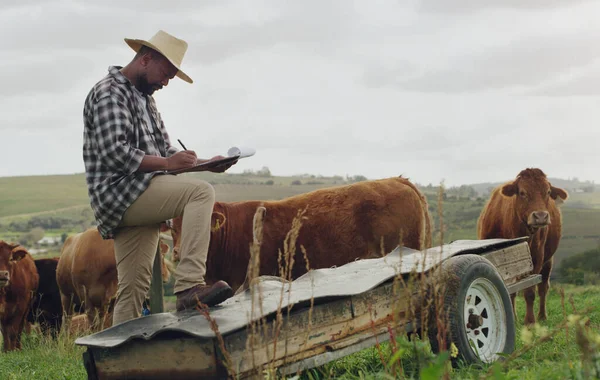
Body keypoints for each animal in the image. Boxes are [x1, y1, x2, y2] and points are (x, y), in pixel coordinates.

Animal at [478, 168, 568, 326]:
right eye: (522, 192)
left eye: (548, 192)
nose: (541, 216)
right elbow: (510, 291)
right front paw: (512, 318)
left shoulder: (537, 259)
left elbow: (530, 291)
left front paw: (530, 321)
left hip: (548, 261)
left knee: (543, 287)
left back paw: (542, 315)